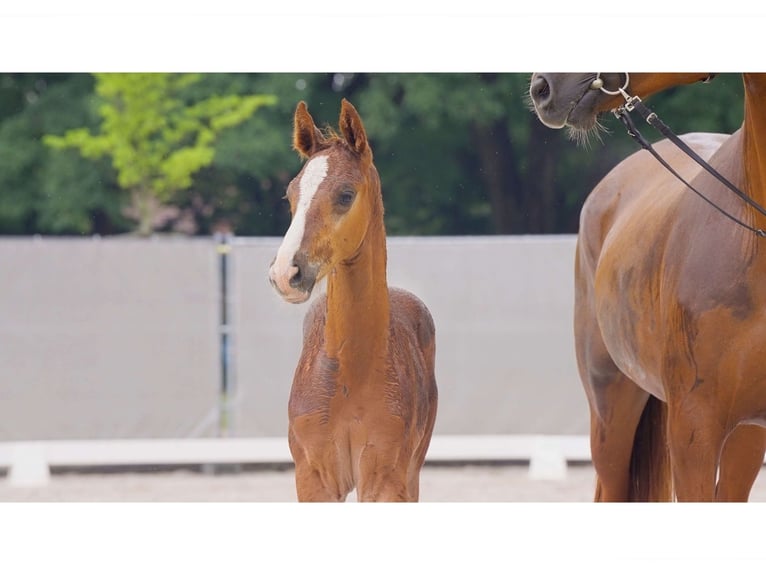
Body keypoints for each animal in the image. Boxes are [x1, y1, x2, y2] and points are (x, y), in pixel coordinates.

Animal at [268, 99, 438, 504]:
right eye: (291, 194)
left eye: (345, 195)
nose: (285, 272)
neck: (351, 372)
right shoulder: (314, 478)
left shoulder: (385, 479)